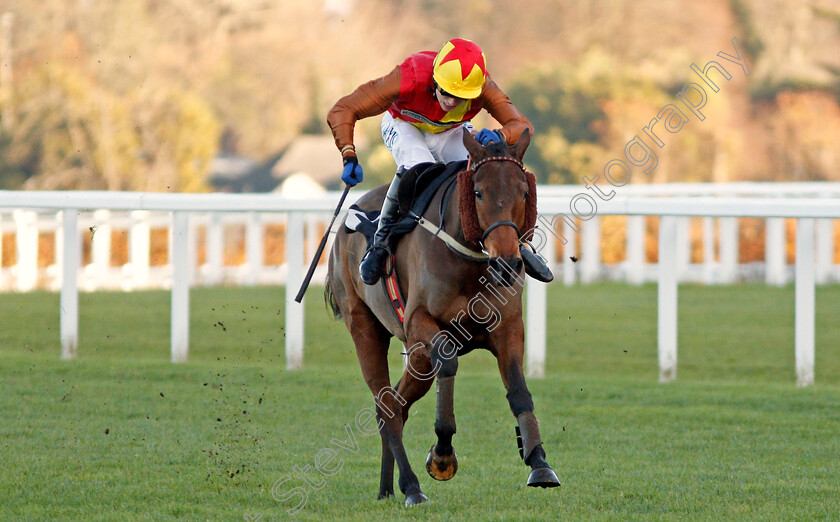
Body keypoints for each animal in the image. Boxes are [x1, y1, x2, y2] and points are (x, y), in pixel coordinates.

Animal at [324, 127, 560, 504]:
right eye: (478, 192)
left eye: (524, 191)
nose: (508, 264)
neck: (469, 265)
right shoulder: (420, 324)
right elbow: (448, 363)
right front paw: (442, 456)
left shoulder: (509, 328)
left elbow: (520, 391)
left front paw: (538, 461)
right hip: (366, 328)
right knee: (385, 405)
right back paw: (410, 486)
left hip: (418, 359)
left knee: (397, 405)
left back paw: (386, 488)